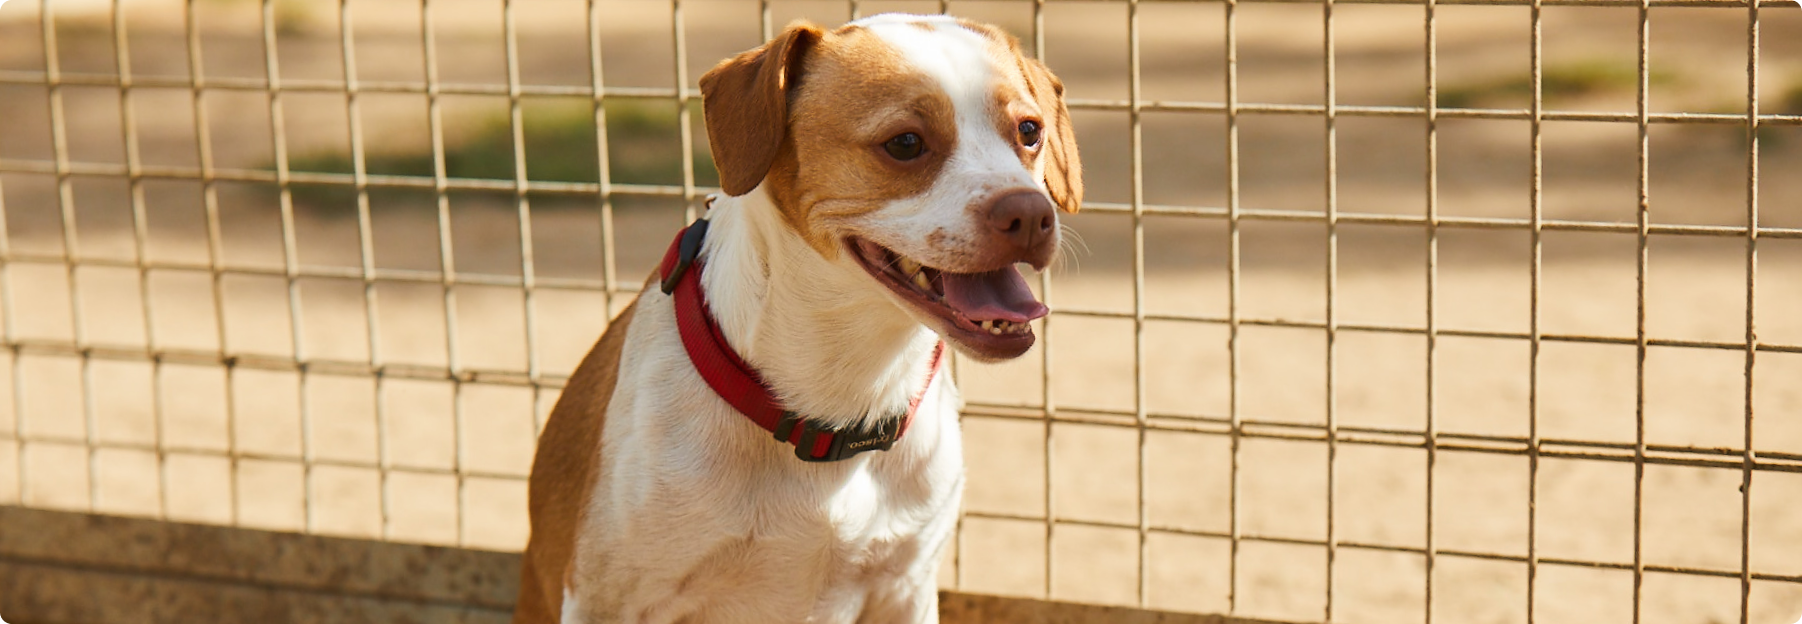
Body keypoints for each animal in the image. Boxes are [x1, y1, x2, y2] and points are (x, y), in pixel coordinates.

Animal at [515, 14, 1081, 624]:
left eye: (1029, 131)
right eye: (905, 143)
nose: (1030, 214)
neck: (839, 405)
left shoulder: (906, 587)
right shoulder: (608, 597)